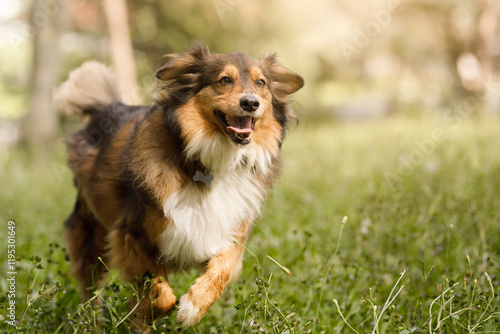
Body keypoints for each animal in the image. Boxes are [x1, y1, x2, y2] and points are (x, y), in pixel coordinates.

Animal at [56, 41, 302, 326]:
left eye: (261, 82)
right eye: (224, 80)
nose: (251, 103)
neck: (213, 161)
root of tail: (106, 108)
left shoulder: (230, 234)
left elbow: (223, 268)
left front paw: (194, 306)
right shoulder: (132, 233)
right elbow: (160, 293)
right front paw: (148, 313)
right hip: (91, 233)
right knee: (90, 290)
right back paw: (92, 322)